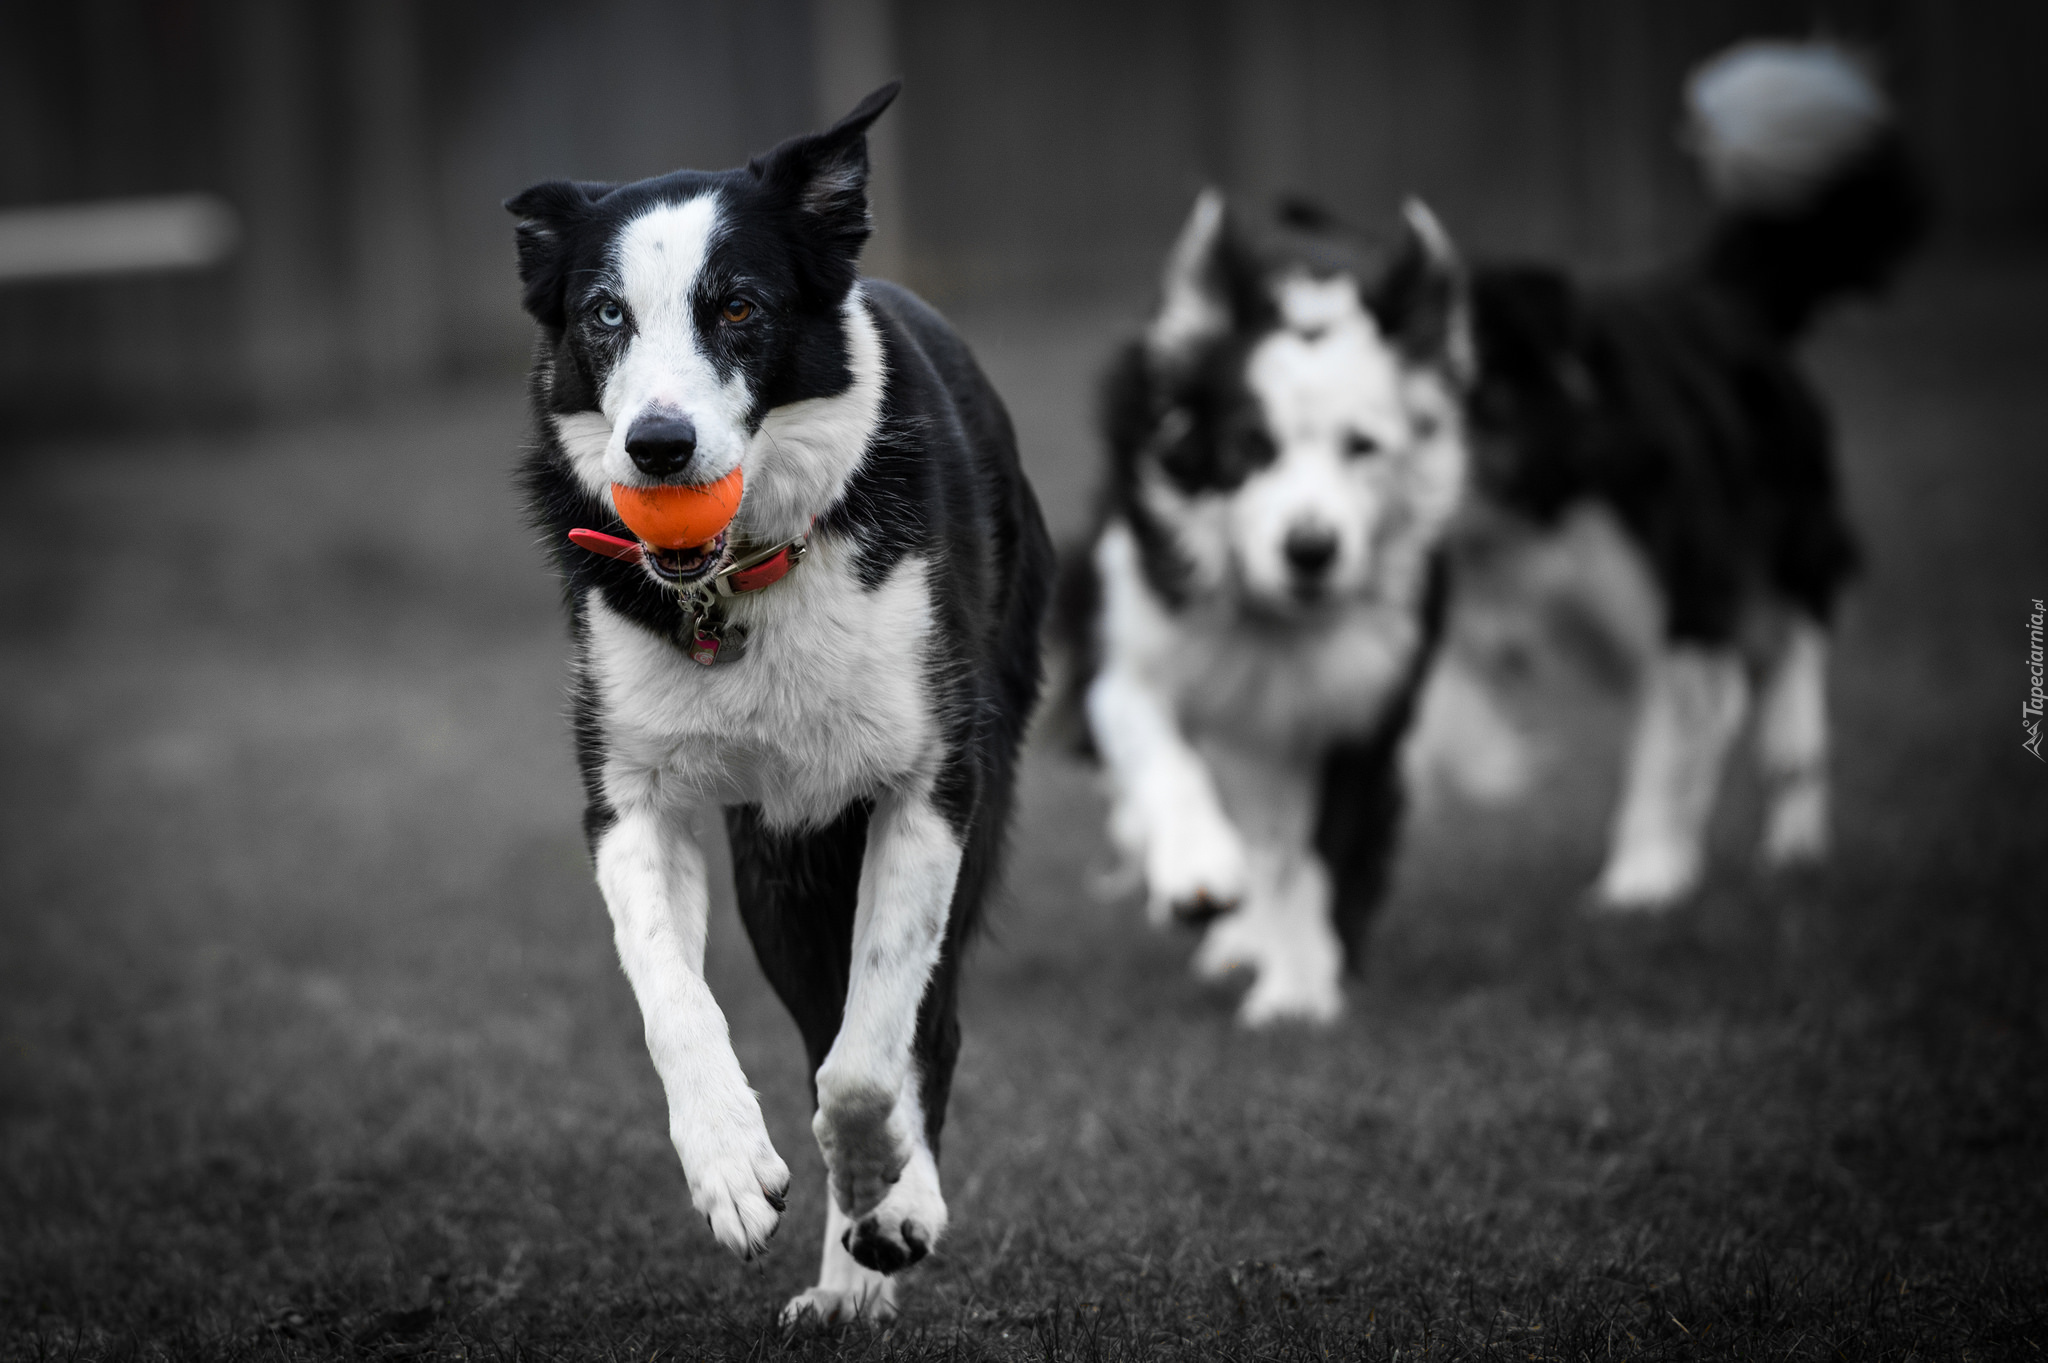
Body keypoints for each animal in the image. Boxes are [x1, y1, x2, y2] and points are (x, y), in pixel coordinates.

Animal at [509, 84, 1048, 1317]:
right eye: (604, 315)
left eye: (740, 307)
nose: (658, 448)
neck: (737, 580)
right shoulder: (628, 797)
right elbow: (674, 996)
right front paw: (728, 1168)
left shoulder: (933, 780)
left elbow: (870, 1051)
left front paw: (889, 1191)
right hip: (777, 864)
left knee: (916, 1022)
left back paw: (877, 1237)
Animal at [1056, 188, 1474, 1019]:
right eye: (1249, 445)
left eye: (1363, 446)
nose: (1309, 548)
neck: (1275, 615)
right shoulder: (1123, 637)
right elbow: (1159, 747)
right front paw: (1194, 870)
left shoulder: (1367, 693)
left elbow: (1314, 845)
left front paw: (1300, 987)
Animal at [1458, 42, 1916, 908]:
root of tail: (1712, 290)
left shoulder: (1692, 602)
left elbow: (1666, 756)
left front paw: (1642, 881)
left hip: (1790, 541)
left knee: (1791, 662)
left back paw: (1792, 824)